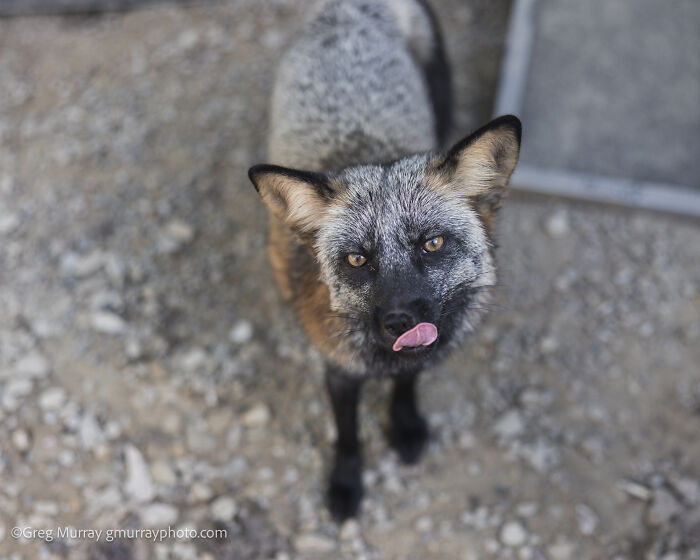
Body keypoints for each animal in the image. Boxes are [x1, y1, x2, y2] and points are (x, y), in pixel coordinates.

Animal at [248, 0, 521, 521]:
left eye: (432, 244)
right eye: (358, 258)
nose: (399, 321)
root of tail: (349, 10)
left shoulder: (417, 352)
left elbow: (409, 382)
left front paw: (406, 424)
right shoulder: (337, 369)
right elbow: (348, 436)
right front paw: (345, 484)